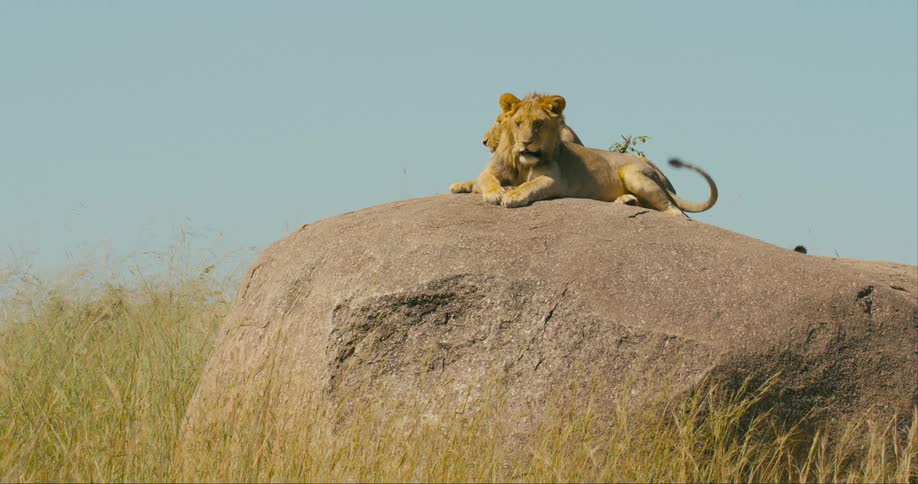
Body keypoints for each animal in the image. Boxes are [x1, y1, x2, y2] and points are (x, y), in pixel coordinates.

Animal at [499, 93, 717, 215]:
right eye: (518, 123)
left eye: (538, 124)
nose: (525, 142)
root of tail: (657, 173)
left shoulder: (554, 180)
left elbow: (530, 185)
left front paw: (512, 196)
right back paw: (627, 201)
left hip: (633, 174)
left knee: (676, 211)